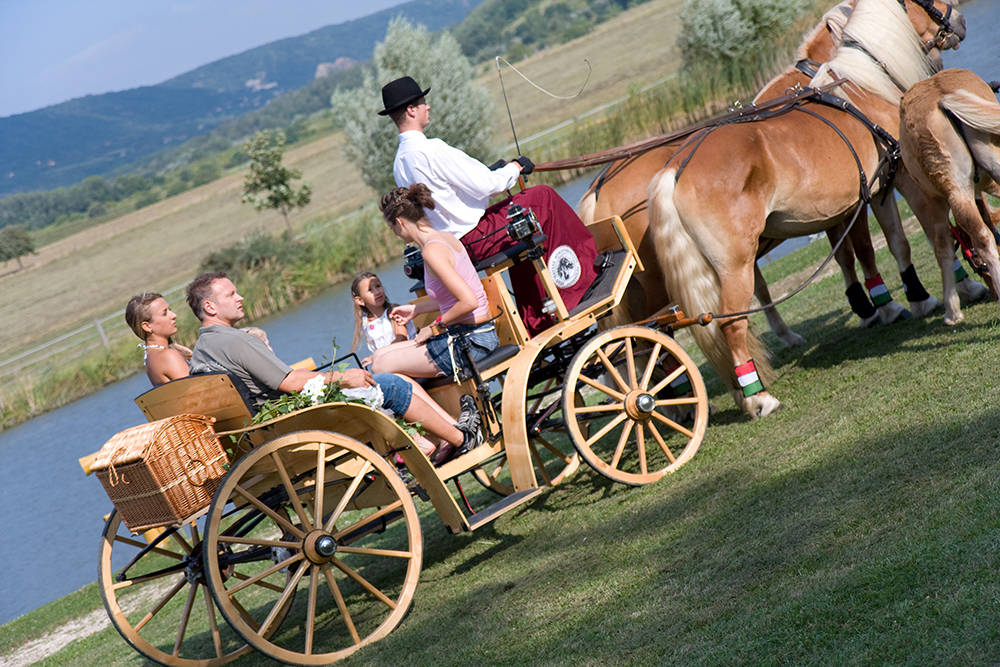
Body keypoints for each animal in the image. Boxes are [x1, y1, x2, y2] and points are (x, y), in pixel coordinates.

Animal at [644, 0, 965, 418]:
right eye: (927, 2)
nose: (958, 18)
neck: (863, 86)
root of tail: (676, 167)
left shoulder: (876, 190)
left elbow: (894, 243)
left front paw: (913, 299)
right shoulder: (903, 177)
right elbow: (920, 235)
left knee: (714, 325)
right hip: (735, 266)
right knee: (732, 324)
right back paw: (757, 396)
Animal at [899, 68, 1000, 324]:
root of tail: (943, 98)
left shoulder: (932, 201)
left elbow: (942, 246)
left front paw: (952, 312)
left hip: (957, 192)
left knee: (979, 238)